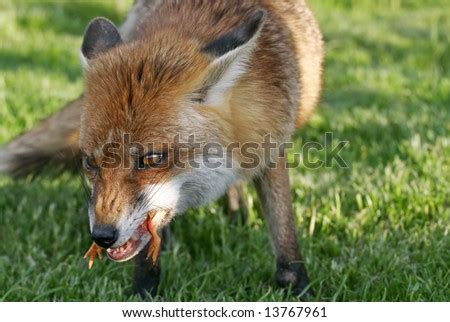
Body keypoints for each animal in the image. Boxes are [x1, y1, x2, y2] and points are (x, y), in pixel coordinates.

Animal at [0, 0, 324, 298]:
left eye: (151, 158)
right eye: (90, 163)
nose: (102, 236)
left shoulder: (272, 141)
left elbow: (284, 230)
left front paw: (299, 288)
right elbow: (145, 249)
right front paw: (143, 293)